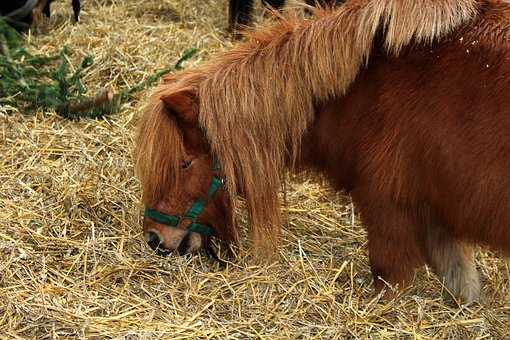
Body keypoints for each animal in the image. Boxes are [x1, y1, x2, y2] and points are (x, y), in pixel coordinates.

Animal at [134, 0, 510, 302]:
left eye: (184, 163)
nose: (154, 238)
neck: (360, 89)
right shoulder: (435, 219)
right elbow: (464, 287)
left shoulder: (389, 214)